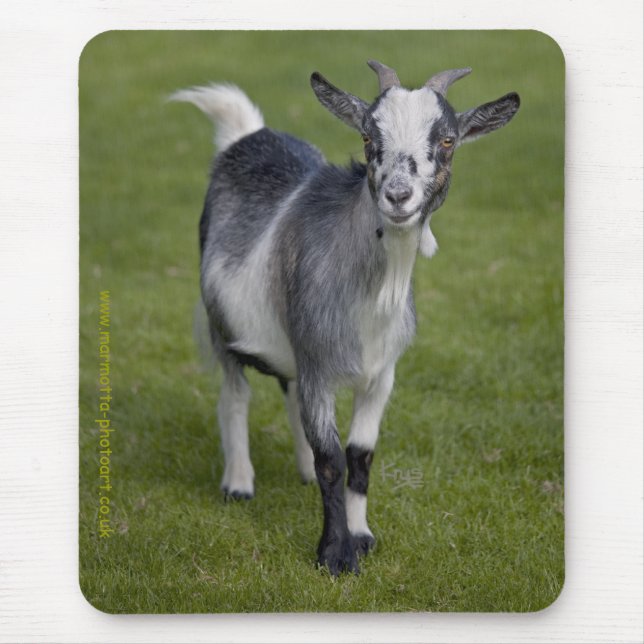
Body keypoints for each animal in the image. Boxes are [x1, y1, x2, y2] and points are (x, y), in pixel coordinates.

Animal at [172, 61, 520, 575]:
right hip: (224, 325)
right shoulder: (319, 364)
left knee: (289, 394)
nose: (398, 195)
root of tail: (249, 134)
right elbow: (332, 460)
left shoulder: (381, 374)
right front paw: (335, 556)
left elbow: (359, 457)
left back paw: (298, 471)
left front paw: (361, 536)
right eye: (367, 136)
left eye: (447, 139)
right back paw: (238, 482)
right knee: (235, 394)